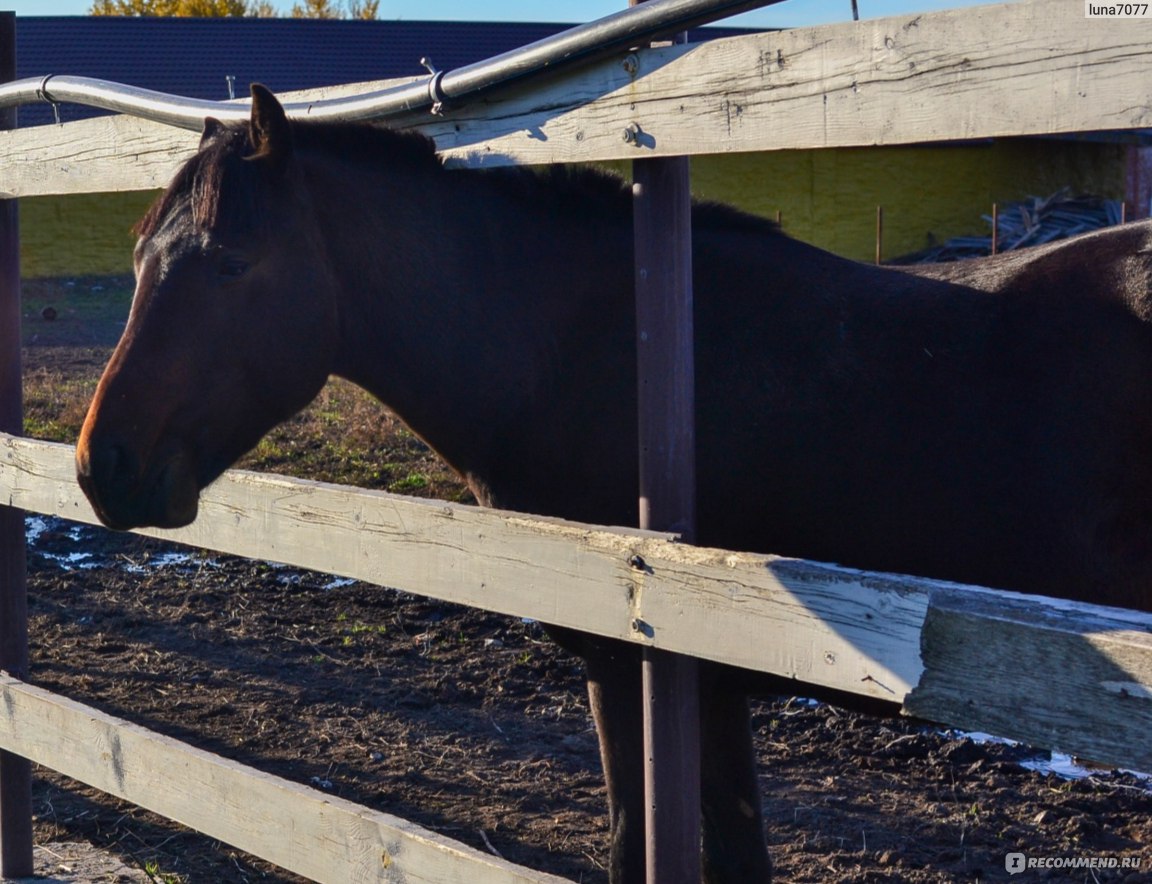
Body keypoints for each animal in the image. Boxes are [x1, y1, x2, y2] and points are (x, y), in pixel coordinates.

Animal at [76, 88, 1152, 884]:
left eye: (228, 261)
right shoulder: (694, 680)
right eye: (136, 257)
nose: (102, 466)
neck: (604, 350)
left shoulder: (653, 666)